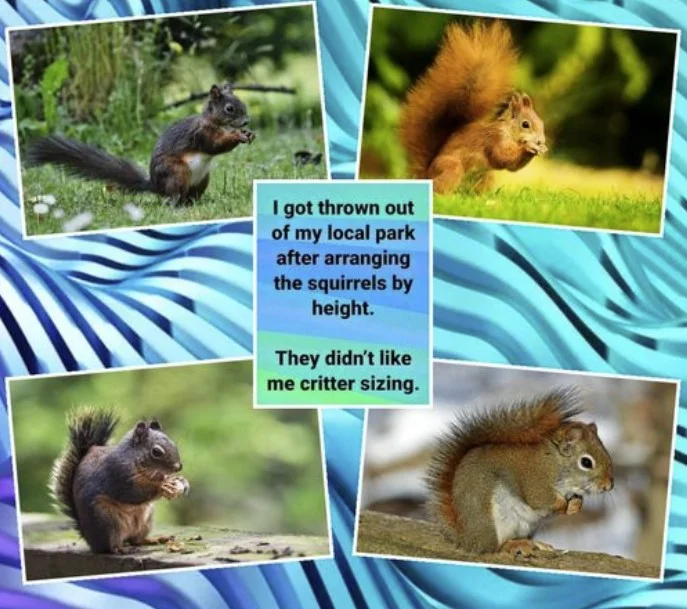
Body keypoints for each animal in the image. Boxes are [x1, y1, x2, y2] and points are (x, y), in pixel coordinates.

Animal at [27, 83, 255, 205]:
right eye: (229, 109)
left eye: (243, 104)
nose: (246, 122)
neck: (215, 123)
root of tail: (155, 186)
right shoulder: (200, 134)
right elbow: (214, 145)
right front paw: (237, 136)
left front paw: (248, 134)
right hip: (176, 172)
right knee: (173, 196)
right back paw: (177, 205)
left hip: (202, 179)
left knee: (190, 196)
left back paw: (197, 203)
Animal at [49, 408, 190, 554]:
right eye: (156, 452)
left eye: (173, 444)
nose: (179, 467)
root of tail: (90, 540)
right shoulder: (118, 474)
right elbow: (134, 493)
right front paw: (162, 486)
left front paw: (182, 482)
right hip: (106, 521)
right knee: (110, 546)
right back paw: (121, 549)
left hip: (145, 520)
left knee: (136, 540)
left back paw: (155, 539)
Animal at [399, 20, 547, 194]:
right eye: (525, 124)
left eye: (541, 123)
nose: (541, 141)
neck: (509, 132)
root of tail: (427, 175)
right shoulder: (494, 139)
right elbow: (501, 157)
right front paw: (529, 147)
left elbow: (511, 166)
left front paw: (540, 148)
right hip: (451, 168)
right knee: (441, 184)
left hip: (485, 176)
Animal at [425, 389, 614, 557]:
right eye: (586, 462)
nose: (608, 486)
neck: (555, 463)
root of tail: (466, 539)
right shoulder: (535, 479)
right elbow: (540, 499)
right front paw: (563, 505)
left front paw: (575, 505)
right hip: (490, 520)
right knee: (493, 548)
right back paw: (512, 545)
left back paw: (535, 544)